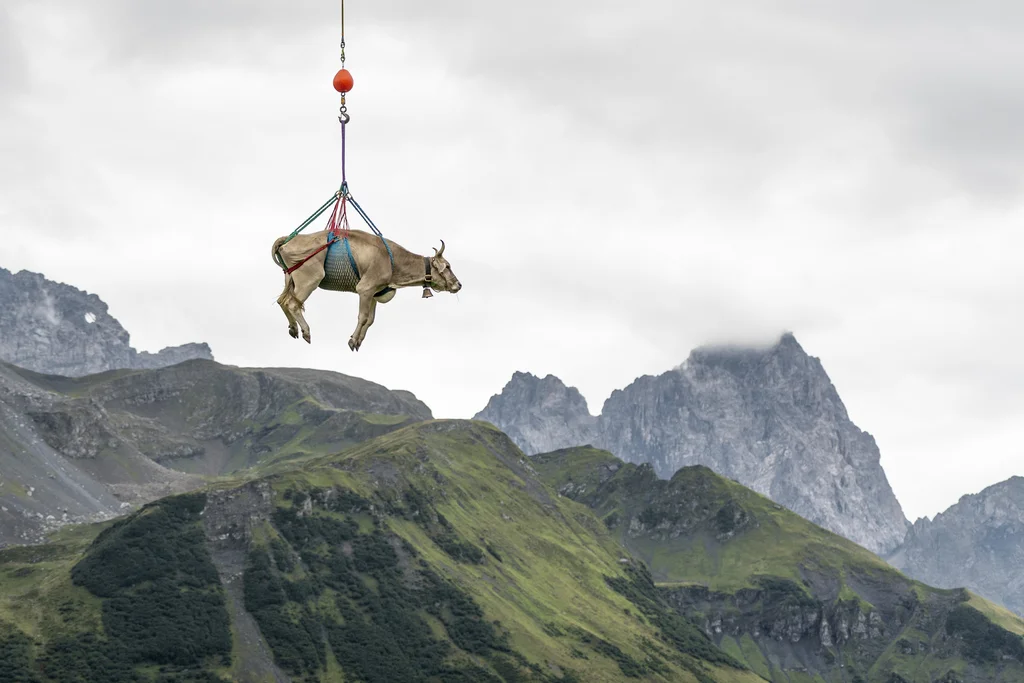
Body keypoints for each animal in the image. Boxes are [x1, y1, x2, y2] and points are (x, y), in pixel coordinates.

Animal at [271, 227, 461, 351]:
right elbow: (362, 317)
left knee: (282, 301)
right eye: (448, 266)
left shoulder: (374, 293)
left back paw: (293, 328)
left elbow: (370, 320)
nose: (459, 284)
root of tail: (288, 238)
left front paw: (358, 341)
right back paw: (305, 331)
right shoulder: (365, 288)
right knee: (292, 304)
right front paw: (353, 341)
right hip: (309, 279)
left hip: (290, 280)